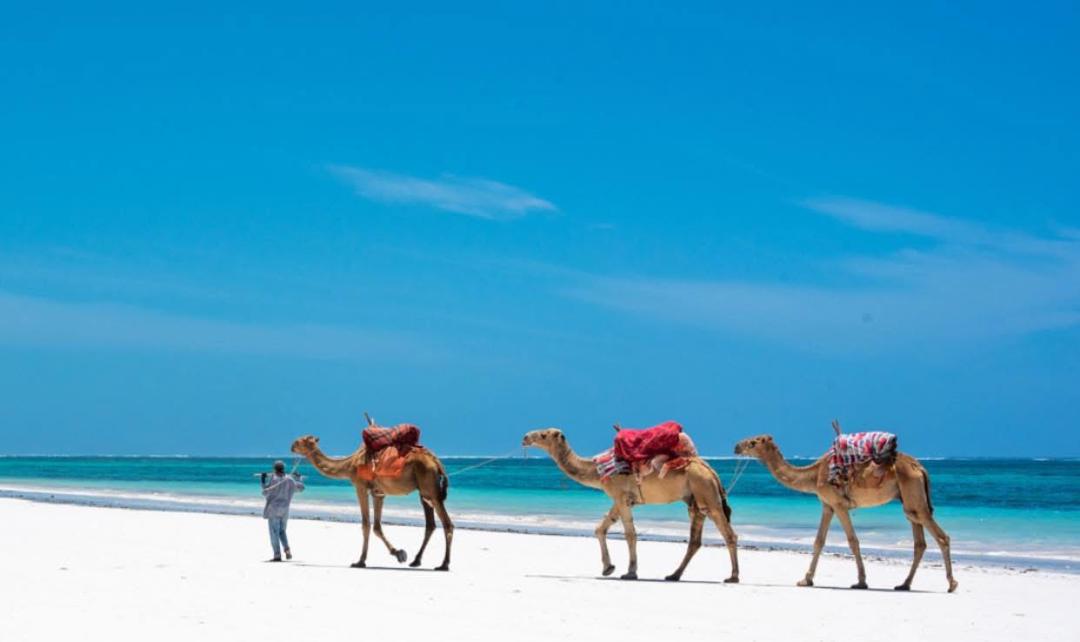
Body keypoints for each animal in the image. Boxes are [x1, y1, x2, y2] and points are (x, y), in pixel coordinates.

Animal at [290, 425, 454, 571]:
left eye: (301, 440)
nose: (291, 446)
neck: (350, 464)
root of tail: (437, 462)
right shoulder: (378, 492)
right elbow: (377, 527)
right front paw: (399, 554)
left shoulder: (360, 486)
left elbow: (366, 525)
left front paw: (360, 561)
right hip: (424, 492)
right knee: (430, 525)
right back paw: (416, 560)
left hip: (430, 487)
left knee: (447, 524)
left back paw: (444, 564)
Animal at [522, 428, 739, 582]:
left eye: (543, 434)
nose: (525, 437)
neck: (597, 470)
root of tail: (710, 471)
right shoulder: (623, 499)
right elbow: (600, 528)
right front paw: (608, 568)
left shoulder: (620, 495)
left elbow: (629, 534)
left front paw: (630, 572)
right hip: (695, 500)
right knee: (695, 540)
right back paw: (673, 575)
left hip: (707, 493)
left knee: (729, 534)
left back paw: (733, 577)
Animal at [733, 430, 958, 592]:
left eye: (753, 442)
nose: (736, 446)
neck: (815, 475)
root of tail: (920, 468)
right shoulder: (827, 505)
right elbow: (819, 541)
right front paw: (806, 580)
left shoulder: (839, 504)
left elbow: (853, 541)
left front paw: (861, 582)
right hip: (909, 501)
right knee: (919, 542)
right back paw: (904, 584)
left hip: (914, 497)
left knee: (941, 536)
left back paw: (951, 584)